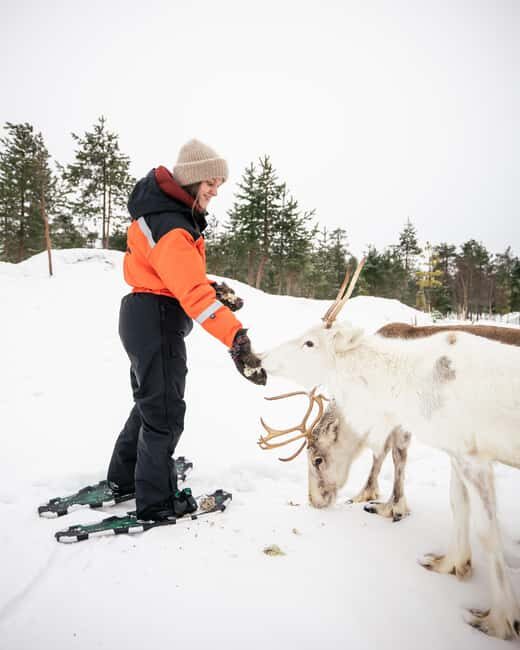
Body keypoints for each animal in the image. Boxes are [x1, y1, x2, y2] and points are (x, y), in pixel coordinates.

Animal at [258, 260, 520, 640]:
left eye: (317, 459)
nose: (260, 357)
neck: (398, 381)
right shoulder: (455, 451)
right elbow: (457, 505)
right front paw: (450, 563)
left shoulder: (470, 455)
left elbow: (392, 456)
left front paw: (499, 621)